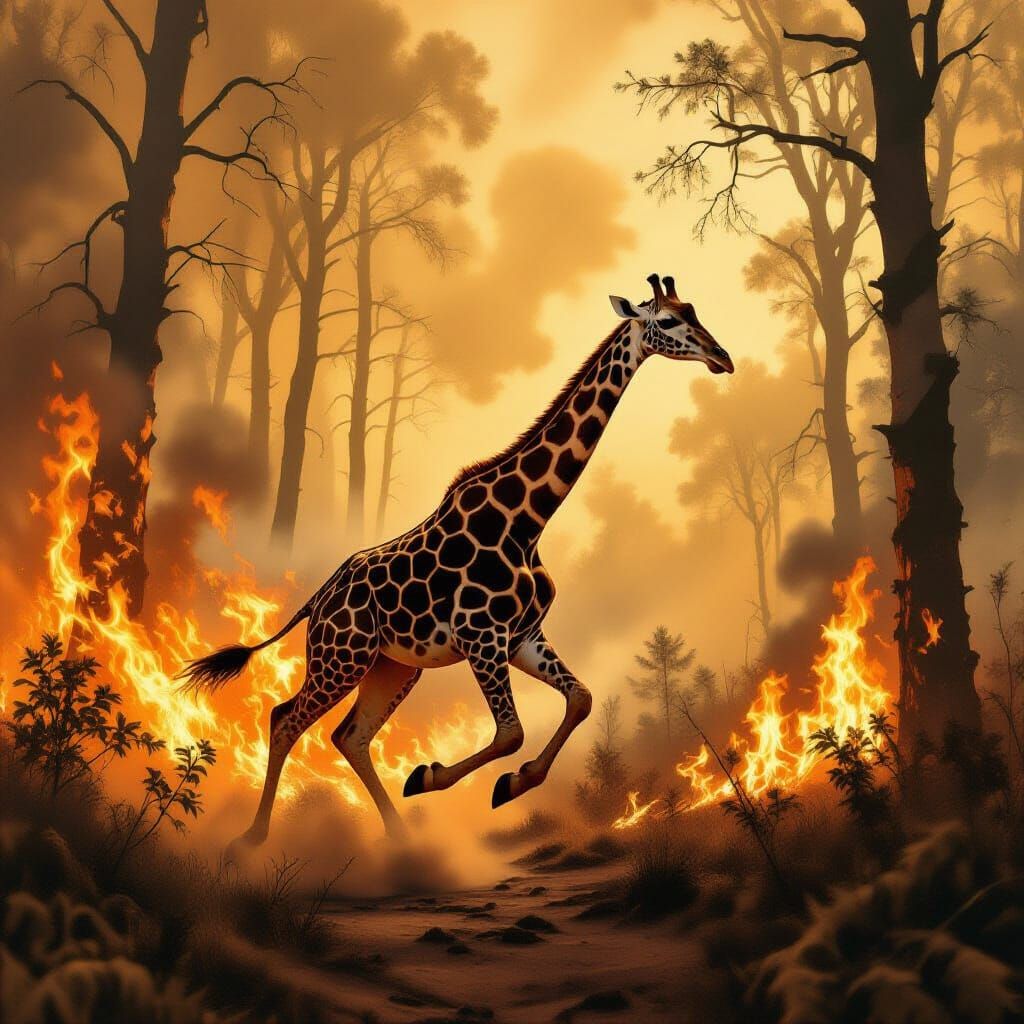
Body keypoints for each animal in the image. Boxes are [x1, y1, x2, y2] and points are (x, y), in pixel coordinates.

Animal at [180, 274, 733, 847]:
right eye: (666, 320)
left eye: (693, 309)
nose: (723, 358)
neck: (527, 519)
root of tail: (316, 601)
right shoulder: (481, 638)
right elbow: (511, 732)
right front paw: (440, 777)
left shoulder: (522, 637)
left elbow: (580, 700)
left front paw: (504, 783)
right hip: (342, 656)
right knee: (285, 718)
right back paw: (253, 836)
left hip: (392, 665)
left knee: (350, 735)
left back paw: (401, 839)